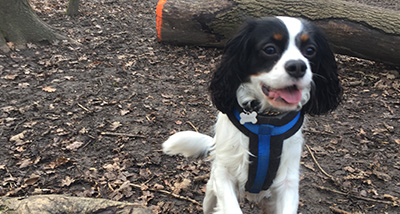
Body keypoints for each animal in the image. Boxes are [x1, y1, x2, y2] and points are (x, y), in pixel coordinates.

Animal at [162, 15, 340, 213]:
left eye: (310, 50)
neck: (266, 121)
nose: (298, 66)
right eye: (270, 49)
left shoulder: (287, 181)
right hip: (210, 194)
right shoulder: (224, 172)